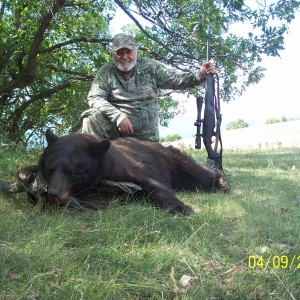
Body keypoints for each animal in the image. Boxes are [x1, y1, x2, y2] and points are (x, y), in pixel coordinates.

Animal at [37, 130, 230, 214]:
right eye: (50, 169)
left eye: (72, 171)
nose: (54, 194)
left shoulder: (130, 167)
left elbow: (154, 185)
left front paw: (179, 208)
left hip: (174, 160)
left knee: (198, 174)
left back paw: (222, 182)